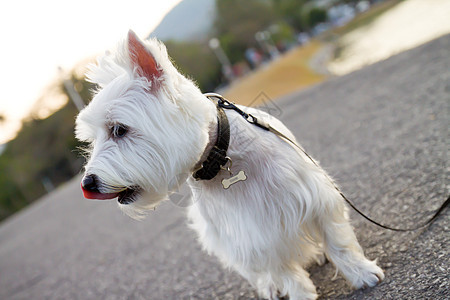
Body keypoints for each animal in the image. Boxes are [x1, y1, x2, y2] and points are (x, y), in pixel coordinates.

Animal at [74, 31, 384, 300]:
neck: (220, 158)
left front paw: (362, 273)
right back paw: (271, 286)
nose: (87, 183)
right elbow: (283, 271)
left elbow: (338, 241)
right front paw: (297, 293)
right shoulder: (250, 236)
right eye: (93, 138)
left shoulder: (316, 197)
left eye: (119, 129)